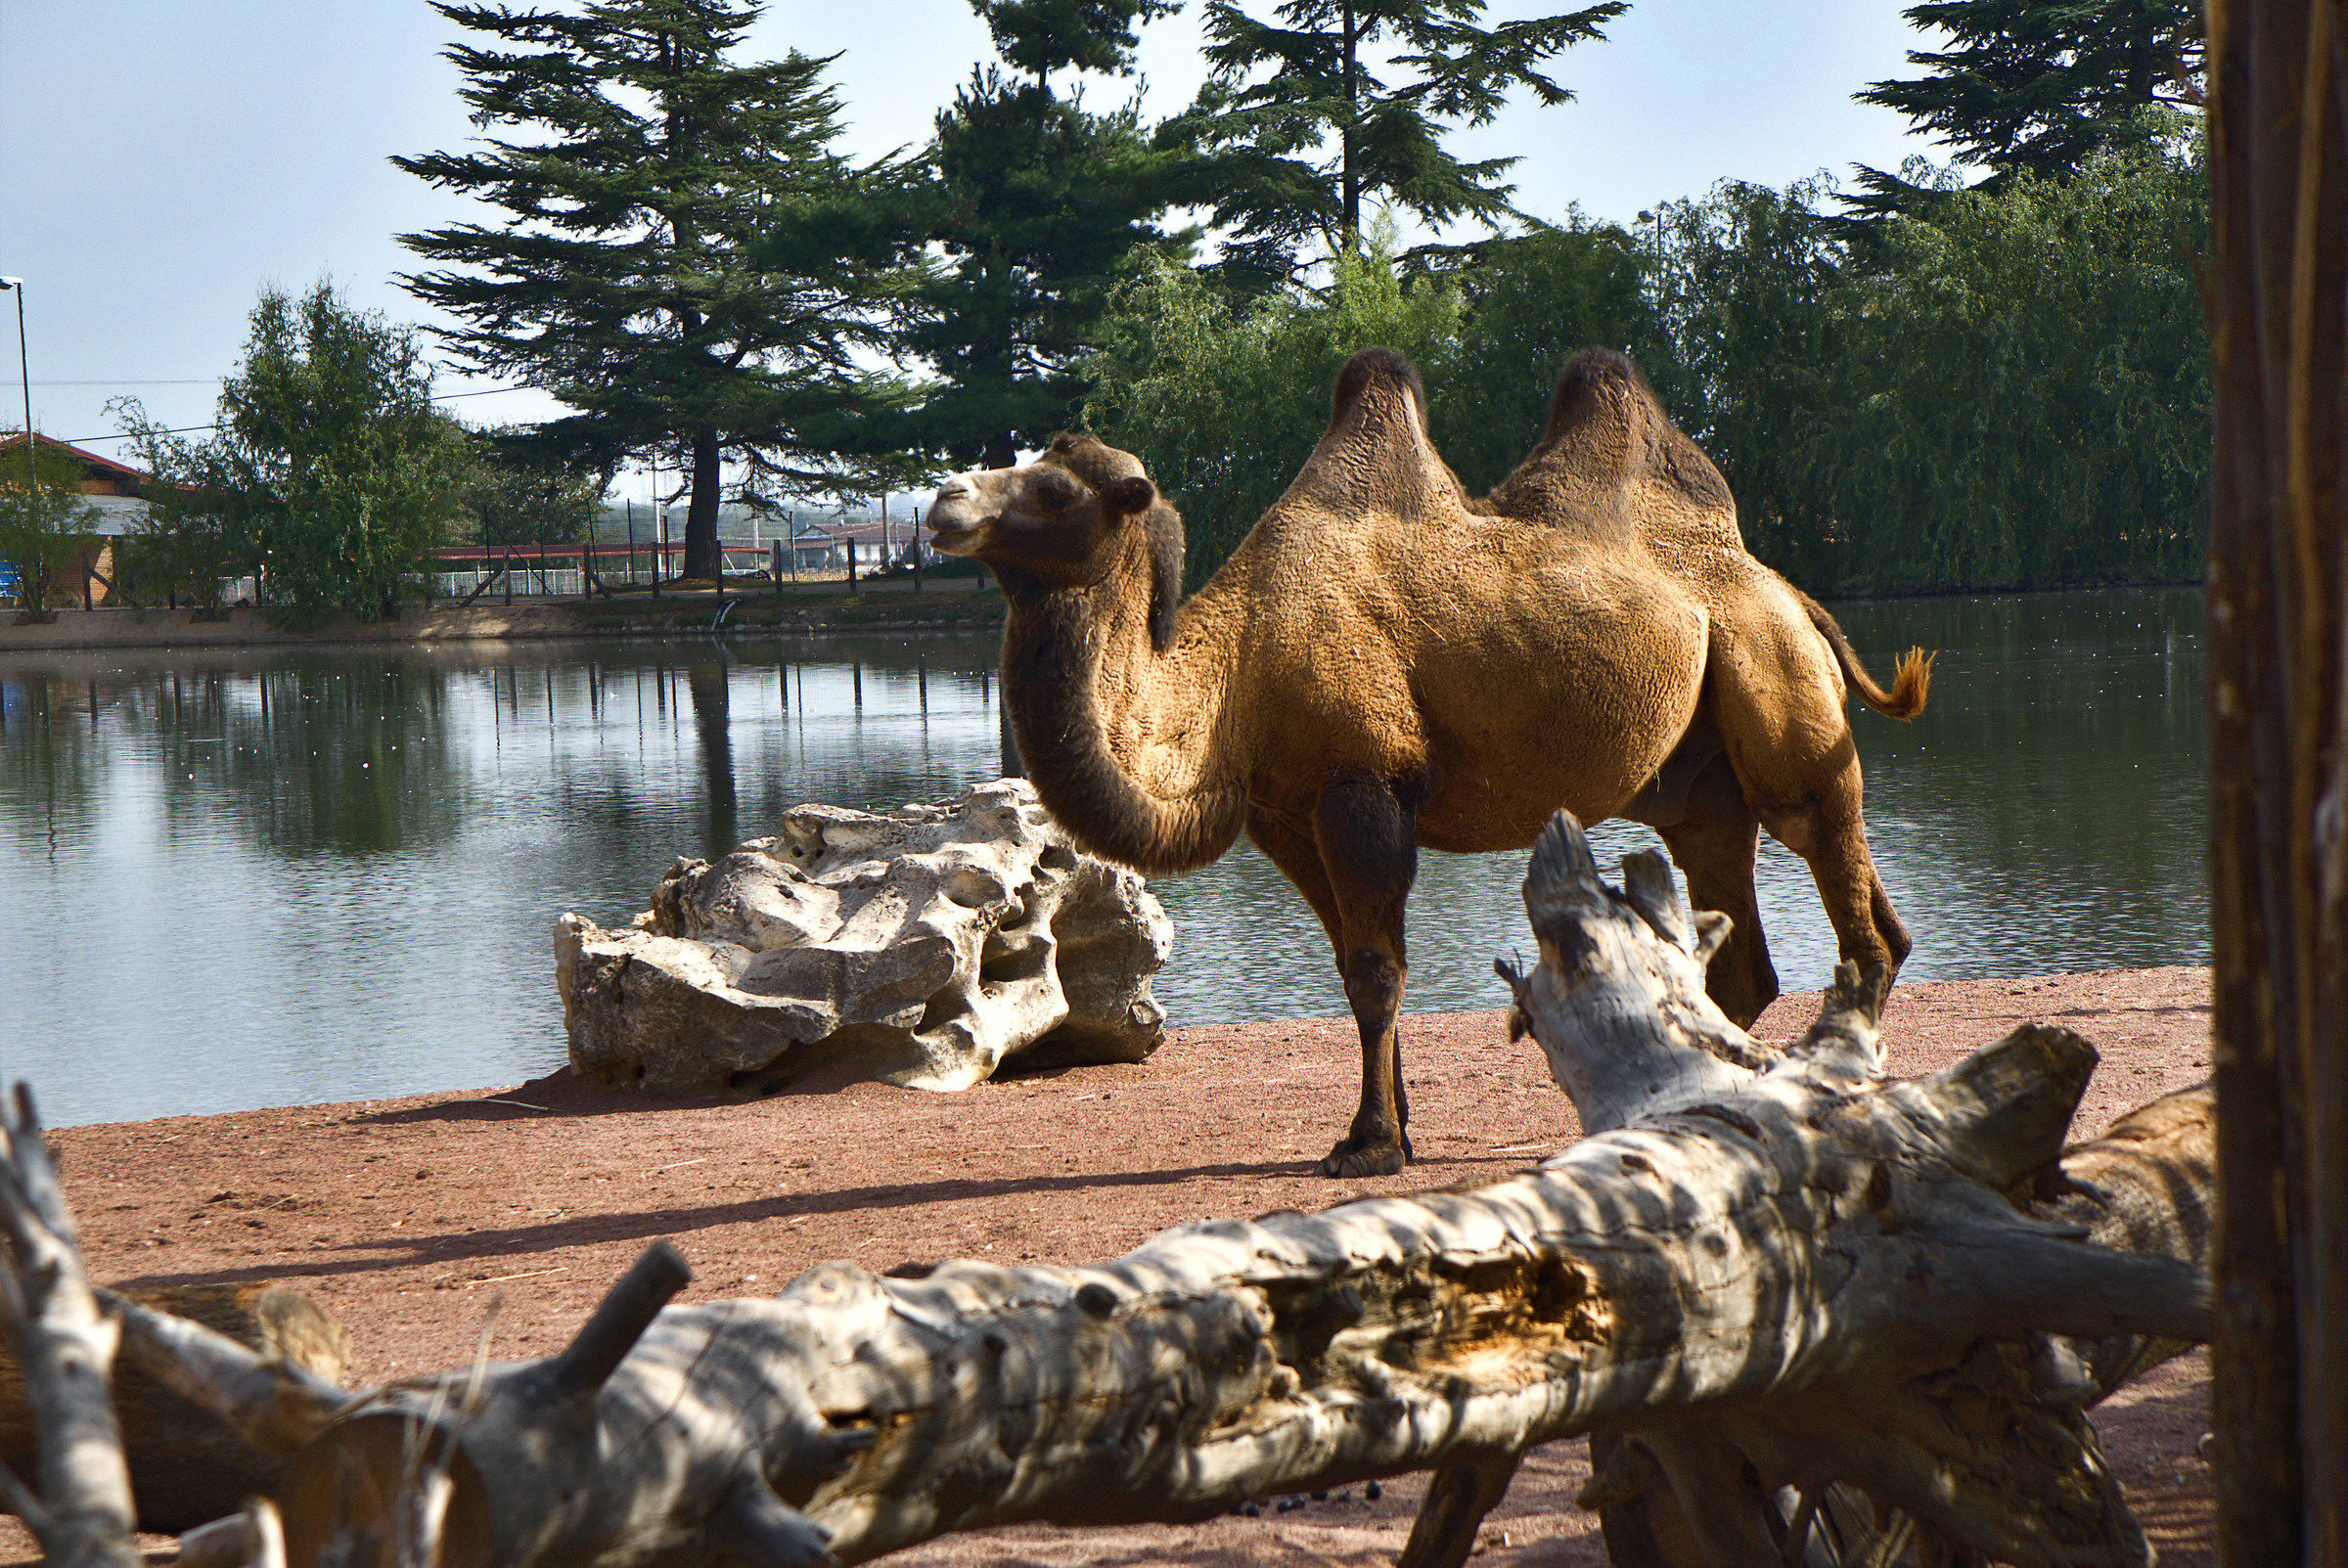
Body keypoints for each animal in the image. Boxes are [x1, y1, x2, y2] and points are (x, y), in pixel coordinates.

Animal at [926, 346, 1931, 1177]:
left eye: (1057, 490)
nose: (942, 501)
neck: (1234, 676)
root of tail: (1794, 592)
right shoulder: (1289, 816)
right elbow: (1356, 966)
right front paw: (1394, 1129)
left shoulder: (1362, 786)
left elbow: (1377, 971)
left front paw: (1369, 1145)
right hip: (1699, 780)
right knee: (1747, 938)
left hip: (1777, 679)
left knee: (1843, 883)